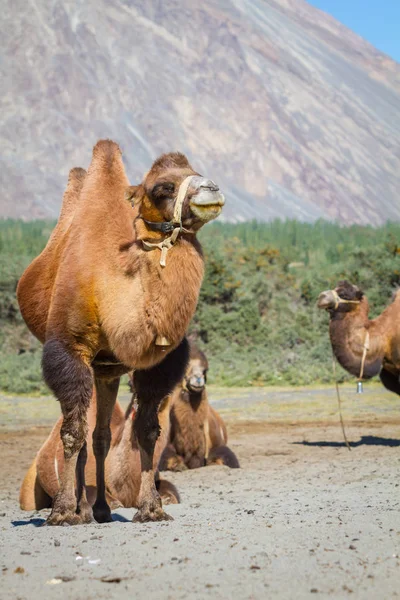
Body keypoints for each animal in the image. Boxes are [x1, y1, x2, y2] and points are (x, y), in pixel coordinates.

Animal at [17, 141, 225, 524]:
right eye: (162, 187)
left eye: (193, 170)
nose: (212, 188)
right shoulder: (69, 350)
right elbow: (72, 432)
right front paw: (63, 511)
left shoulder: (156, 362)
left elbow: (148, 431)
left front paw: (151, 507)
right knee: (83, 433)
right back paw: (82, 508)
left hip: (107, 370)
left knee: (100, 435)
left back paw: (99, 508)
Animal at [159, 344, 241, 472]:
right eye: (185, 368)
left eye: (204, 370)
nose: (198, 378)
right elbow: (167, 458)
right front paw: (179, 466)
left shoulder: (218, 445)